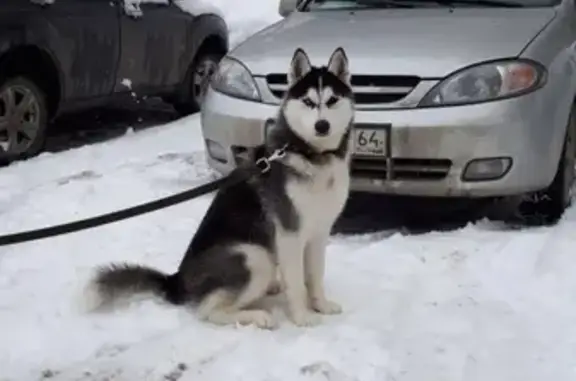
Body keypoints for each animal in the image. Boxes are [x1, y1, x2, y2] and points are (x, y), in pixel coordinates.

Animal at [87, 46, 354, 326]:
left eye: (332, 100)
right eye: (309, 102)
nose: (322, 125)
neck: (311, 155)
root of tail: (177, 281)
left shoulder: (319, 232)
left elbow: (315, 276)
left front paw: (321, 305)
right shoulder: (290, 234)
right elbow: (296, 282)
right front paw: (302, 317)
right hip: (254, 256)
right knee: (208, 310)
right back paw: (257, 316)